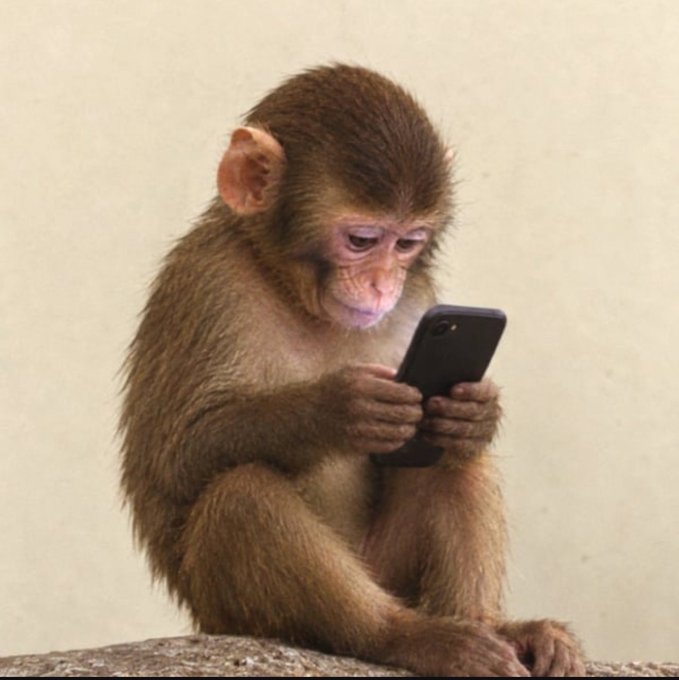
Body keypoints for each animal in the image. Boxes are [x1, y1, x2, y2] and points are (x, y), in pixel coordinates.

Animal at [119, 64, 584, 677]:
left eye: (407, 243)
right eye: (362, 240)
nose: (383, 285)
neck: (290, 288)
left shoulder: (420, 299)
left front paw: (477, 410)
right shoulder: (206, 281)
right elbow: (175, 458)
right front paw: (339, 408)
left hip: (389, 568)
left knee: (453, 458)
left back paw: (493, 626)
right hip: (230, 613)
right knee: (242, 494)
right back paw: (402, 636)